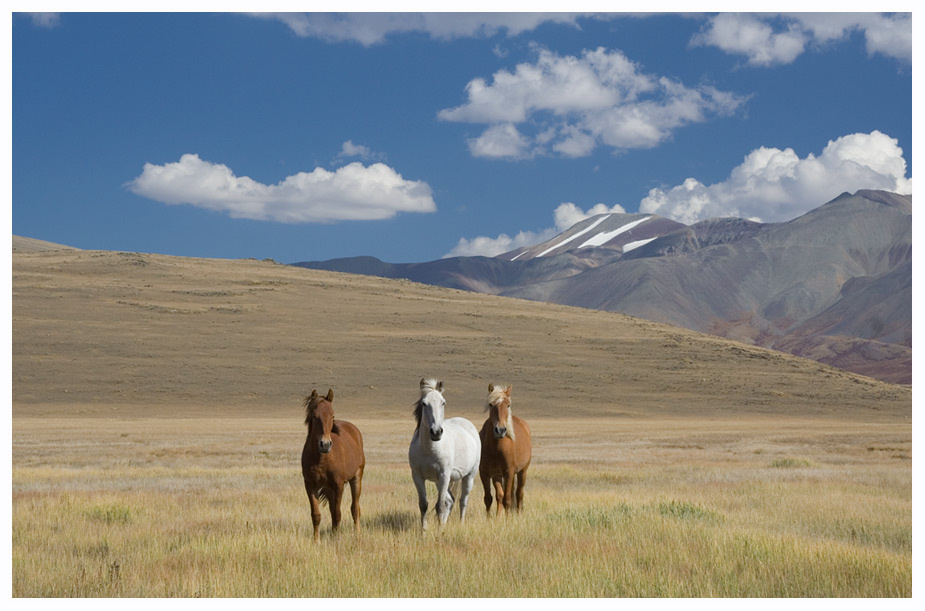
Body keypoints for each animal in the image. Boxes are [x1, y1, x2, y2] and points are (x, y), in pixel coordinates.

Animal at [300, 388, 366, 541]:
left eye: (332, 415)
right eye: (314, 416)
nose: (325, 444)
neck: (321, 459)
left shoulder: (338, 485)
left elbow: (337, 513)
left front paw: (336, 539)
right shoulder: (310, 485)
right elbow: (316, 515)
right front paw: (317, 540)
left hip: (356, 478)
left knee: (355, 508)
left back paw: (357, 533)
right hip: (329, 489)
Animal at [408, 378, 481, 532]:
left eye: (443, 402)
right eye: (424, 403)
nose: (436, 432)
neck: (429, 449)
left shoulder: (444, 475)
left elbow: (440, 506)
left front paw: (438, 531)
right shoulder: (417, 477)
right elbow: (424, 505)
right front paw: (424, 531)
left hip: (468, 476)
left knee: (462, 501)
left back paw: (461, 523)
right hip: (439, 481)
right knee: (450, 500)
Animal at [479, 383, 532, 516]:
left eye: (508, 405)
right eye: (491, 404)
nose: (500, 430)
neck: (495, 447)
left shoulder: (509, 472)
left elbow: (507, 499)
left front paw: (508, 519)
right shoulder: (485, 473)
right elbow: (489, 498)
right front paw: (490, 518)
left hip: (522, 471)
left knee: (519, 494)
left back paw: (518, 514)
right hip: (498, 475)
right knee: (500, 495)